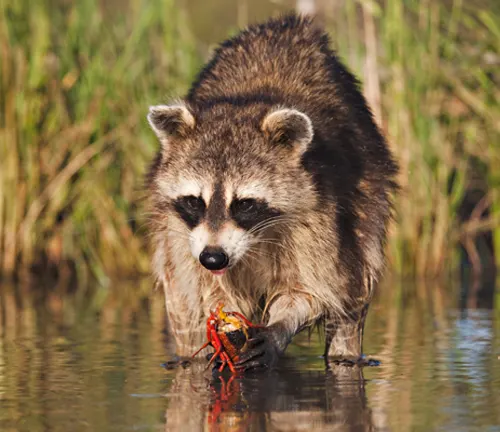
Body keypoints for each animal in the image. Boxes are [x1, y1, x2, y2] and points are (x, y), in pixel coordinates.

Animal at [145, 15, 398, 370]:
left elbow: (313, 289)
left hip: (367, 199)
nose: (213, 257)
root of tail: (289, 26)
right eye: (194, 201)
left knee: (354, 288)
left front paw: (280, 326)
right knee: (183, 308)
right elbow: (202, 290)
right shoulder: (180, 233)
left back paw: (347, 355)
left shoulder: (321, 214)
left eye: (245, 204)